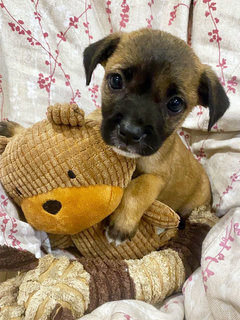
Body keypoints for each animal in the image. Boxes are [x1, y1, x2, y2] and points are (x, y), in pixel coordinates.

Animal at [84, 28, 229, 241]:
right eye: (116, 81)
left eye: (175, 103)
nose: (129, 132)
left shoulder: (158, 176)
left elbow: (140, 187)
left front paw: (122, 224)